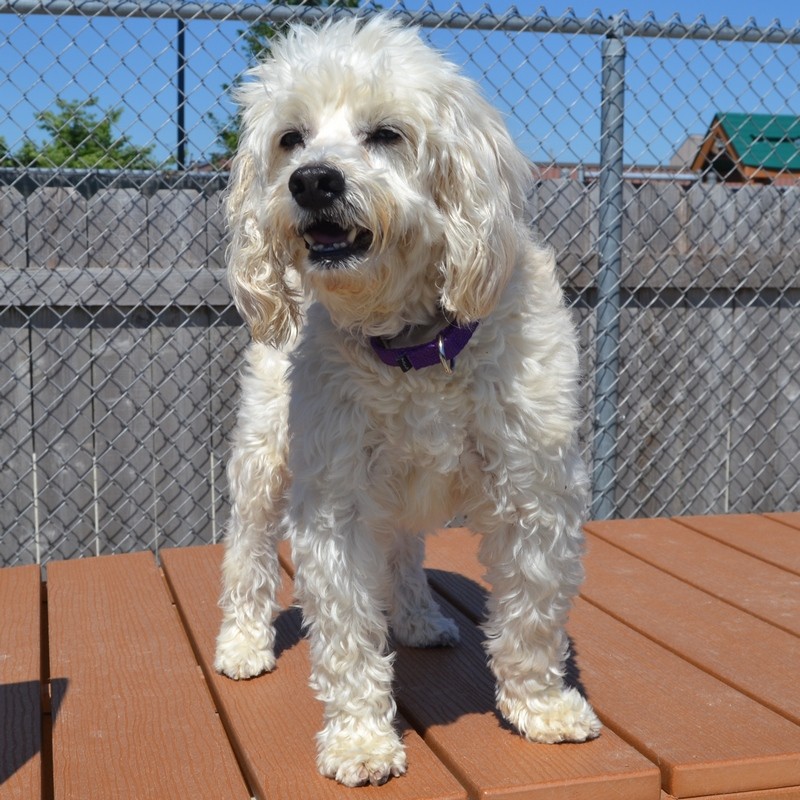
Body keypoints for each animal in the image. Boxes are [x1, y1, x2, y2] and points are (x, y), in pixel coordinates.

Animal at [212, 15, 600, 792]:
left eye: (386, 133)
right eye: (291, 138)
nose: (313, 180)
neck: (414, 347)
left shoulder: (535, 491)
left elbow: (532, 613)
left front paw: (541, 704)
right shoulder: (335, 503)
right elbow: (346, 634)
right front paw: (361, 739)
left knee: (404, 546)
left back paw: (419, 616)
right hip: (265, 458)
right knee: (247, 551)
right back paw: (242, 640)